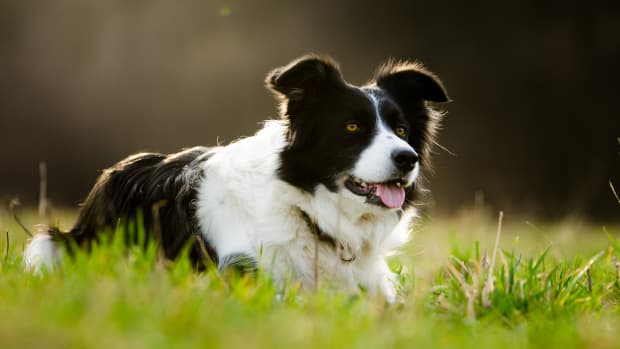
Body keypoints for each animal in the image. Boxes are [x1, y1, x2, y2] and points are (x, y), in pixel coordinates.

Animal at [24, 54, 448, 302]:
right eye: (352, 127)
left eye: (403, 130)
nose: (407, 159)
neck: (306, 208)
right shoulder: (250, 275)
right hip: (58, 246)